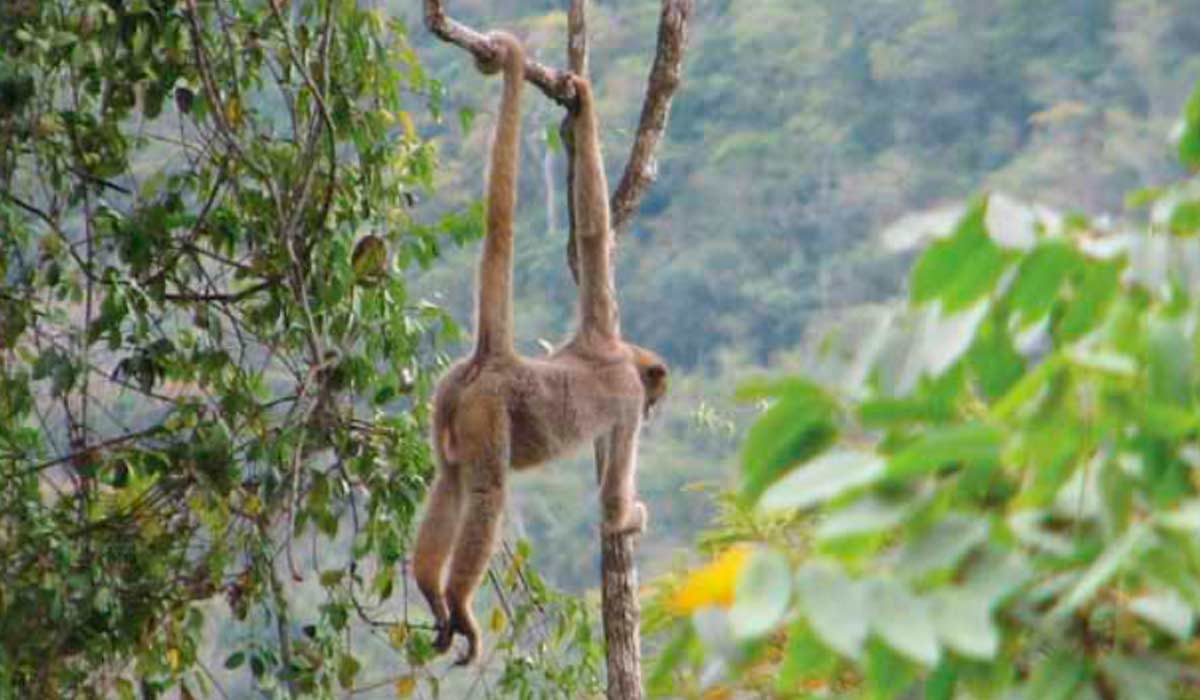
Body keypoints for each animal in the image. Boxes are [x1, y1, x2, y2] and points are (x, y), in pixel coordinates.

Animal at [415, 32, 672, 667]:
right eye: (655, 398)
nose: (657, 412)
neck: (613, 354)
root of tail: (494, 359)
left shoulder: (600, 328)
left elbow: (593, 233)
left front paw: (582, 107)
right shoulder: (625, 391)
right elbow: (611, 503)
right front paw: (630, 517)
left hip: (447, 402)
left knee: (448, 480)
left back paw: (430, 590)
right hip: (487, 411)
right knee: (486, 490)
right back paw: (458, 602)